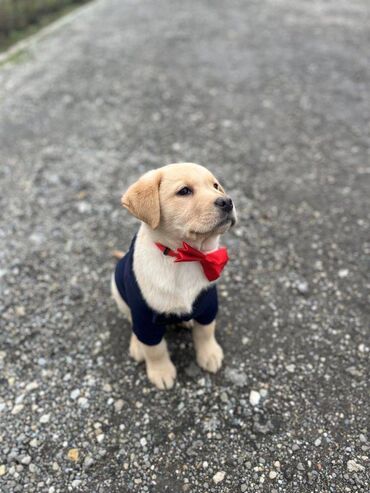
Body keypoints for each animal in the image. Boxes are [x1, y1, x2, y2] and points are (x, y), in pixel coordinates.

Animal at [110, 162, 237, 388]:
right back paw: (137, 346)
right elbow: (155, 349)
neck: (185, 257)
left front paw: (209, 354)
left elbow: (206, 332)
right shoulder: (145, 318)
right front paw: (161, 372)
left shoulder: (208, 306)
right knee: (131, 321)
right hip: (117, 290)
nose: (227, 201)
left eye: (215, 186)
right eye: (184, 191)